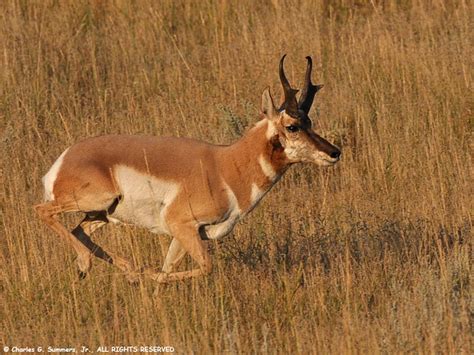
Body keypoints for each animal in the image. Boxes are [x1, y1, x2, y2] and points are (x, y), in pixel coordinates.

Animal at [37, 55, 340, 284]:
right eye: (292, 126)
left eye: (310, 121)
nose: (335, 152)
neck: (226, 166)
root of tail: (64, 160)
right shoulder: (182, 225)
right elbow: (206, 266)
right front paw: (146, 274)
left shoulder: (185, 235)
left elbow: (168, 269)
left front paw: (147, 278)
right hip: (96, 200)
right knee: (42, 211)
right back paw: (89, 264)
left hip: (102, 213)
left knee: (79, 231)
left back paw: (127, 269)